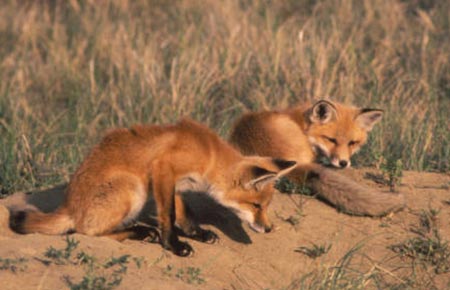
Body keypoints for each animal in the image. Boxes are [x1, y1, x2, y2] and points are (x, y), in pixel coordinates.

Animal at [9, 119, 296, 255]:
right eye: (256, 206)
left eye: (266, 207)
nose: (268, 228)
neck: (209, 154)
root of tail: (68, 206)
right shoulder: (162, 168)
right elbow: (168, 214)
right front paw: (174, 246)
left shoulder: (173, 182)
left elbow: (184, 212)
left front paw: (197, 233)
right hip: (132, 190)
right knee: (85, 231)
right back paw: (140, 231)